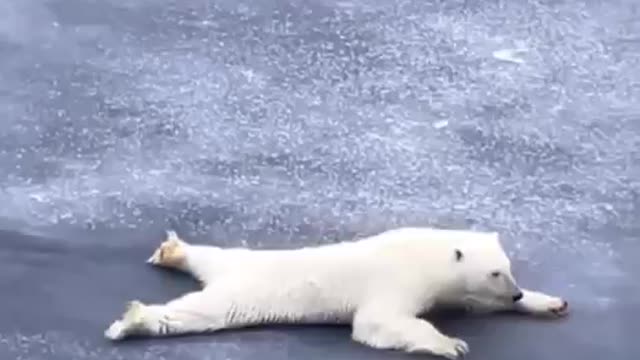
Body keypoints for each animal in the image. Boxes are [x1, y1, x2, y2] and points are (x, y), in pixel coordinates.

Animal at [105, 226, 568, 358]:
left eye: (508, 269)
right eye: (495, 272)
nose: (514, 294)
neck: (426, 252)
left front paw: (551, 301)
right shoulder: (398, 279)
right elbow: (378, 322)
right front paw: (450, 344)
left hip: (235, 263)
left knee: (212, 254)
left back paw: (175, 251)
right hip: (242, 291)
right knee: (197, 313)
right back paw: (133, 319)